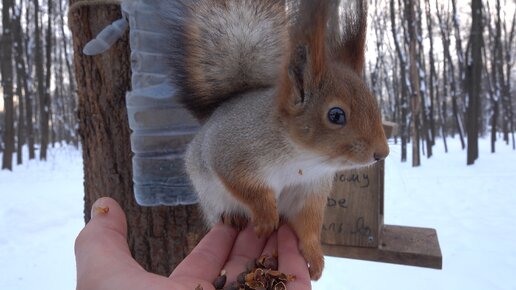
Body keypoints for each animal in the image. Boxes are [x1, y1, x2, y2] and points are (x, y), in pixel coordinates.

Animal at [159, 0, 390, 280]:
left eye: (374, 104)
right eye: (336, 115)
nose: (382, 152)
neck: (303, 158)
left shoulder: (311, 188)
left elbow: (309, 224)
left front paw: (314, 257)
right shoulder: (231, 153)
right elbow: (247, 187)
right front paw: (267, 217)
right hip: (211, 197)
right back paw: (234, 217)